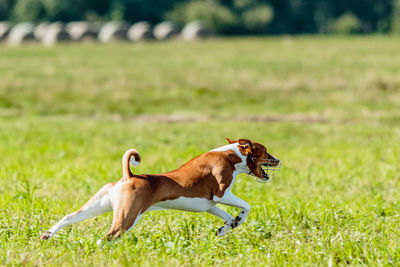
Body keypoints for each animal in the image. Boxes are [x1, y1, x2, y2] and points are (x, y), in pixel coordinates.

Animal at [39, 139, 280, 246]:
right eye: (266, 151)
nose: (278, 160)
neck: (230, 156)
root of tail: (129, 176)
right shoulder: (221, 194)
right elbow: (246, 206)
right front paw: (235, 222)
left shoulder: (209, 205)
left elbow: (230, 218)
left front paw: (225, 228)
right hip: (127, 218)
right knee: (106, 237)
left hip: (98, 206)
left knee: (68, 218)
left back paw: (47, 235)